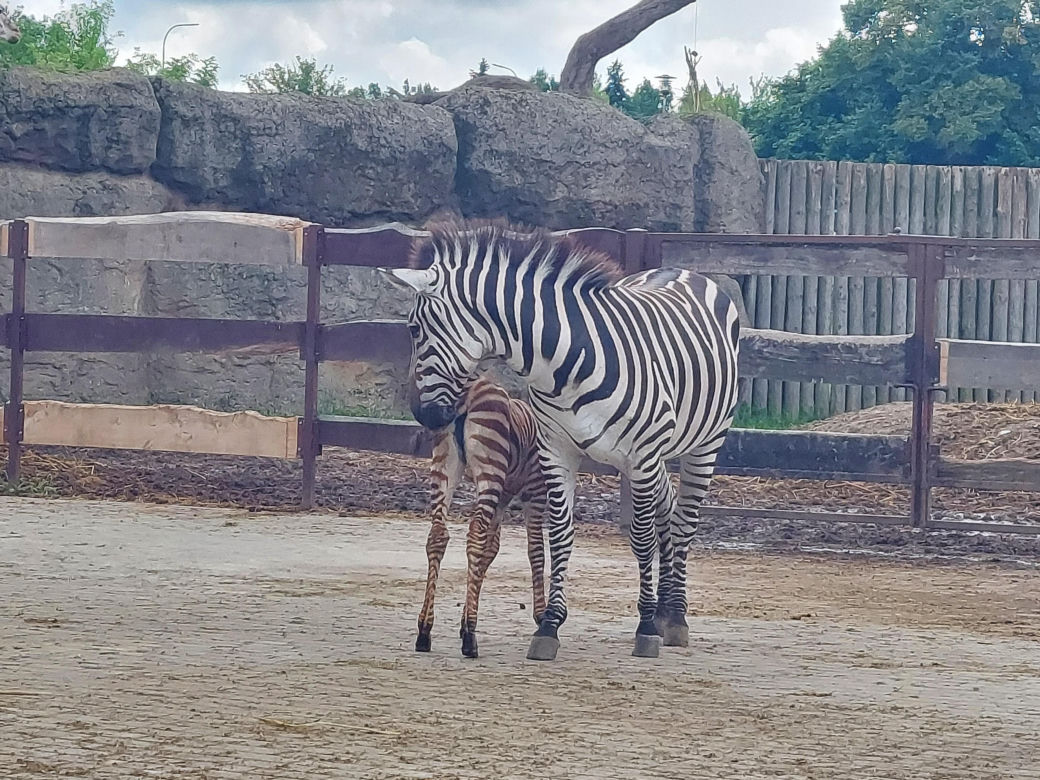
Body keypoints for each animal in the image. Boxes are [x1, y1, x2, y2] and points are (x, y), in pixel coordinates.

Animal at [416, 375, 547, 659]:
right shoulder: (535, 492)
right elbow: (536, 551)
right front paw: (542, 616)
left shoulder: (503, 497)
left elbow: (490, 549)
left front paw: (463, 619)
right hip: (490, 470)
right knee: (474, 533)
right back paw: (470, 638)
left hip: (445, 466)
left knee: (438, 535)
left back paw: (424, 630)